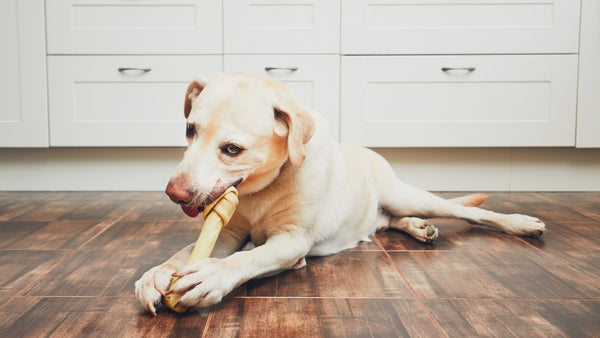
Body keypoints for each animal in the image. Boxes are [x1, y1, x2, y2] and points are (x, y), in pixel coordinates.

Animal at [134, 73, 548, 314]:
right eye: (190, 130)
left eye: (232, 149)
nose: (173, 193)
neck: (263, 188)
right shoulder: (228, 231)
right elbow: (186, 252)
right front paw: (158, 273)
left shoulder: (292, 242)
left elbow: (247, 258)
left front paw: (211, 276)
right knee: (391, 221)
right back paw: (418, 228)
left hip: (406, 194)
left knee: (470, 212)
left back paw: (521, 223)